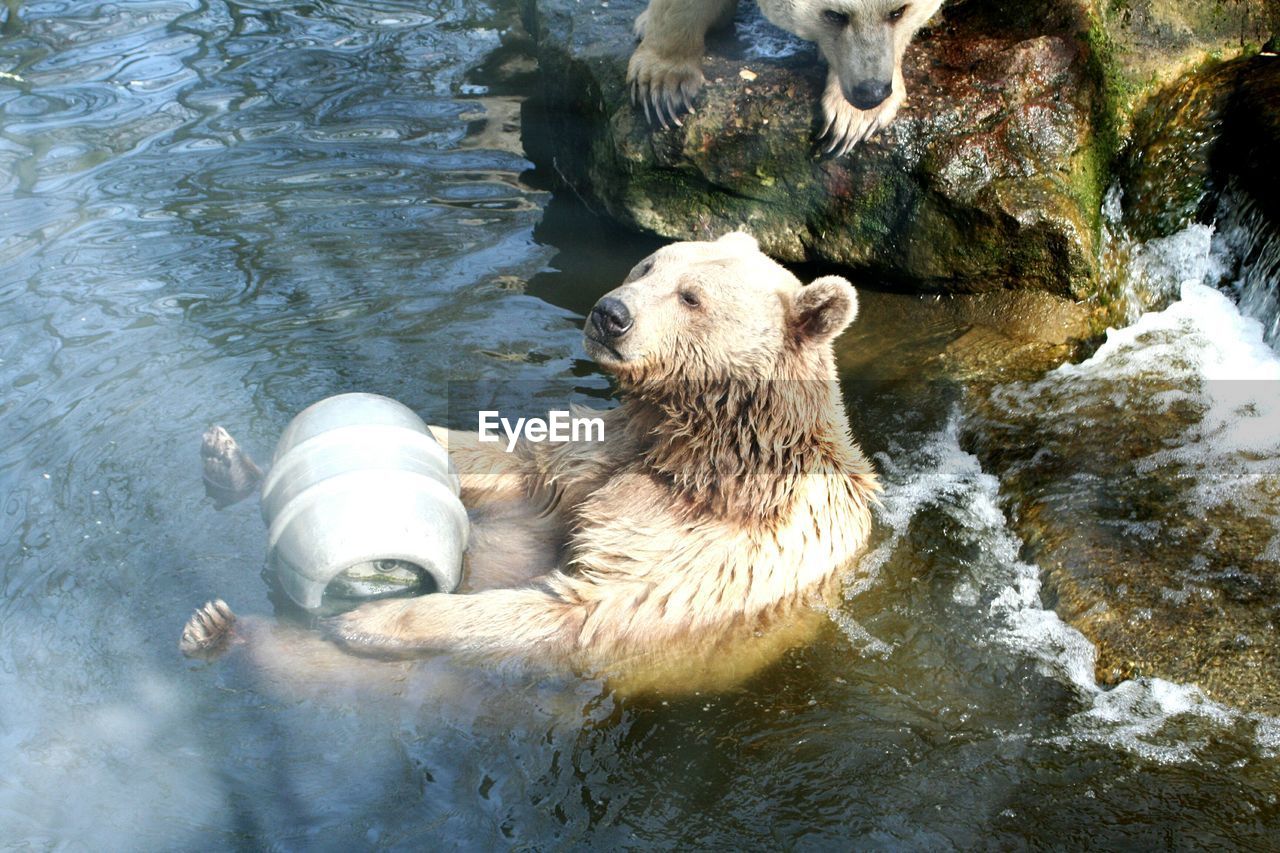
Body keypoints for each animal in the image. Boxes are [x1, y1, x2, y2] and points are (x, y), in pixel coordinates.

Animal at [180, 230, 880, 676]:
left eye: (691, 297)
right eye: (648, 265)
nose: (610, 313)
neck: (708, 449)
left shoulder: (714, 546)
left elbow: (581, 605)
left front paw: (376, 618)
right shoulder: (611, 451)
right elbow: (525, 464)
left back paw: (225, 628)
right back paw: (228, 470)